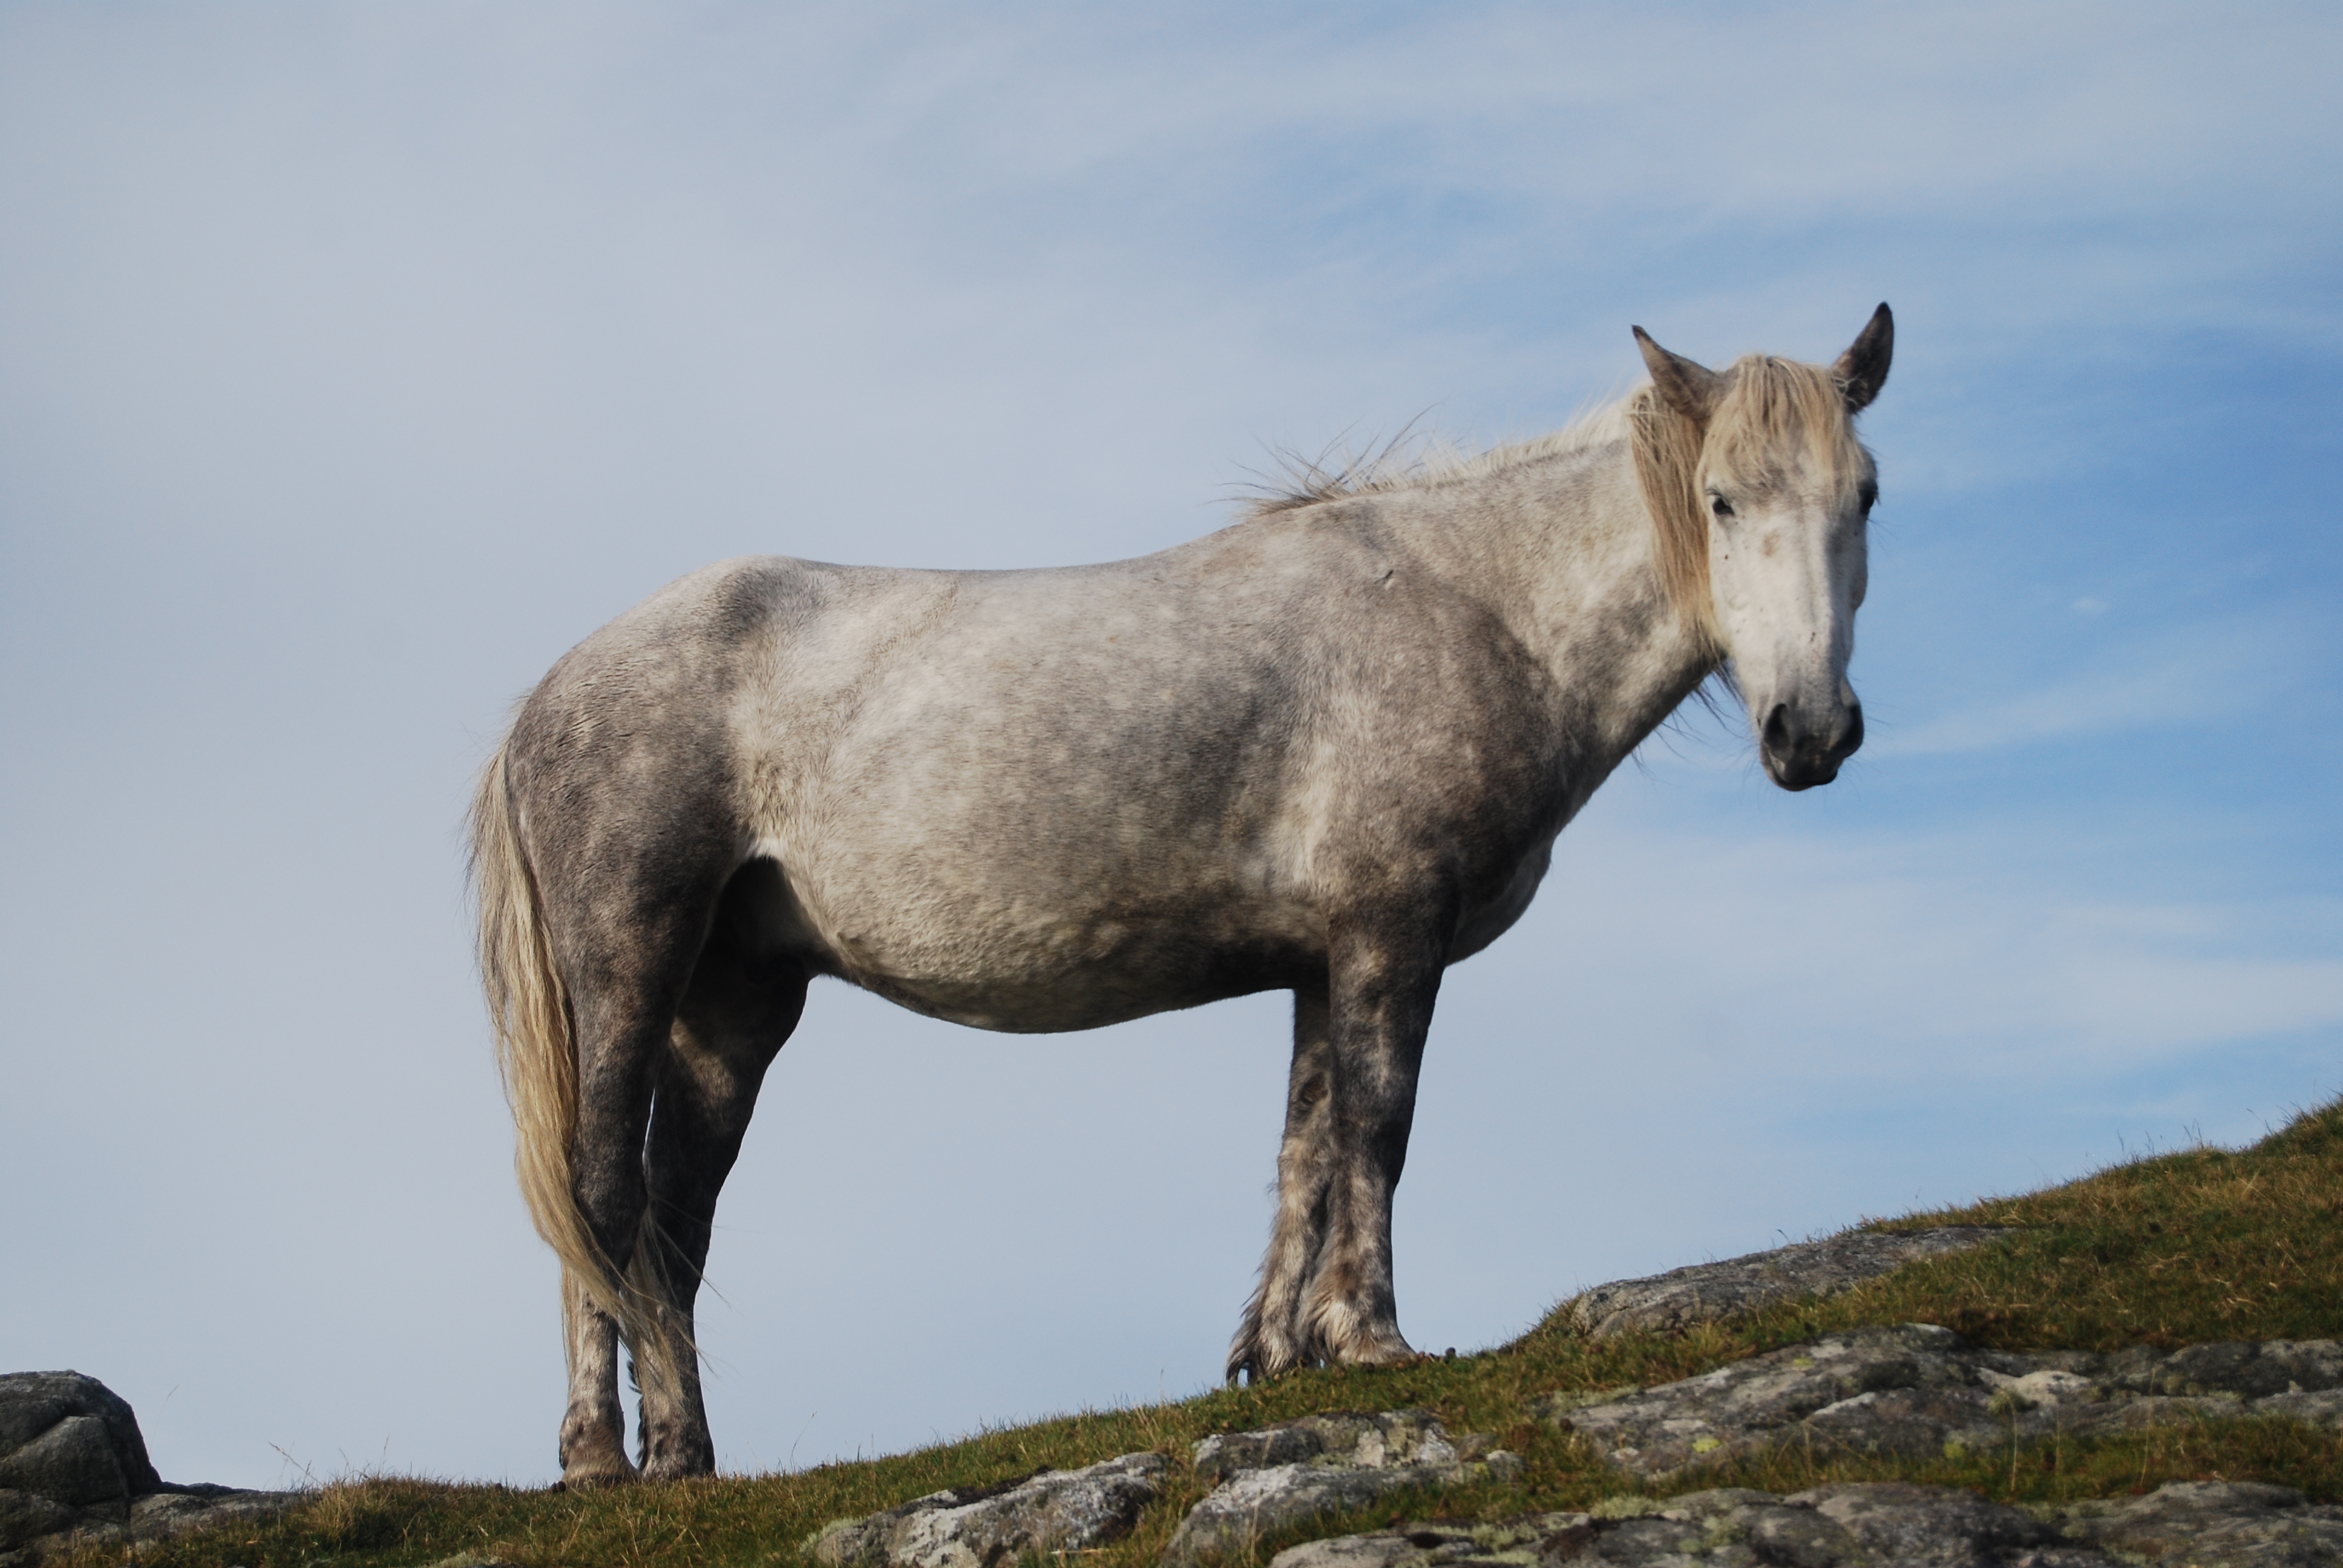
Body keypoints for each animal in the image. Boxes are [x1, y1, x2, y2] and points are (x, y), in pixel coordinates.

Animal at [472, 307, 1893, 1486]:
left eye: (1866, 496)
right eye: (1718, 499)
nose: (1811, 731)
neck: (1474, 606)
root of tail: (552, 690)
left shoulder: (1324, 958)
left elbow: (1305, 1152)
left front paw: (1281, 1353)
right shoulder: (1390, 933)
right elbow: (1379, 1129)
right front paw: (1373, 1338)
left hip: (736, 1003)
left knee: (672, 1220)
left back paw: (683, 1459)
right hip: (628, 966)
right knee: (599, 1196)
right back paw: (600, 1459)